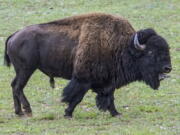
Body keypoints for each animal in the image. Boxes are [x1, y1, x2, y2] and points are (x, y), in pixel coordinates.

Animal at [4, 13, 172, 117]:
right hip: (26, 70)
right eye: (150, 52)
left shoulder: (108, 82)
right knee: (18, 87)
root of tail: (14, 35)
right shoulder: (83, 80)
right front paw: (68, 113)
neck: (122, 46)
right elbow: (76, 97)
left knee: (13, 85)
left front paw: (115, 113)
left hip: (21, 71)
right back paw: (28, 110)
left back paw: (19, 112)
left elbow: (110, 97)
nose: (168, 68)